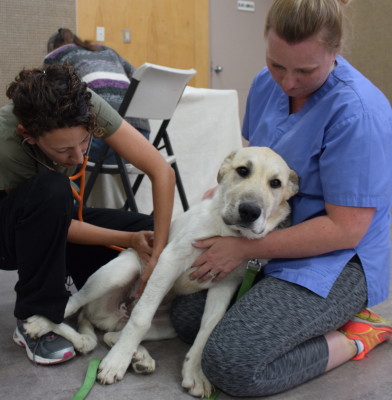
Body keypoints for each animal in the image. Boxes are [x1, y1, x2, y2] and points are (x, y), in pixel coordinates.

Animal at [23, 147, 298, 396]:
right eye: (242, 170)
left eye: (275, 183)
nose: (250, 211)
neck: (227, 233)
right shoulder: (169, 260)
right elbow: (141, 317)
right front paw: (116, 362)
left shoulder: (225, 282)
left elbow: (207, 329)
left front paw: (195, 374)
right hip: (121, 271)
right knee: (76, 302)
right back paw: (41, 323)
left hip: (168, 326)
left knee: (112, 334)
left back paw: (139, 357)